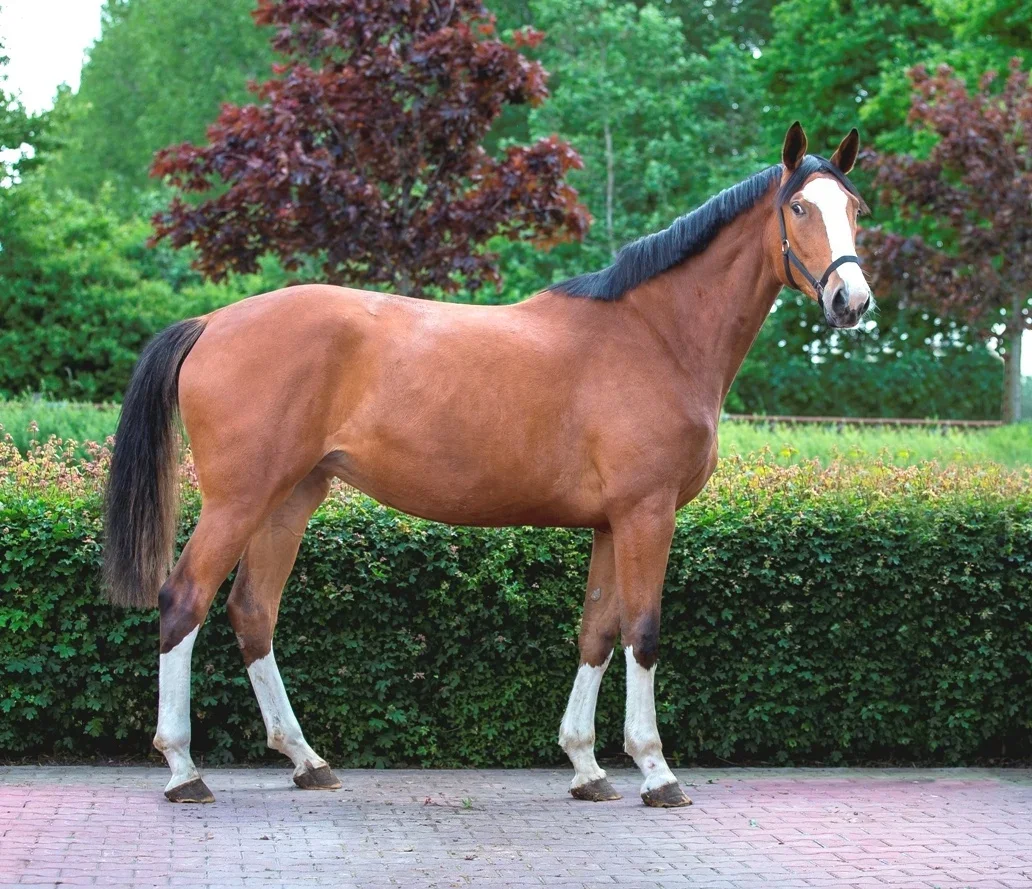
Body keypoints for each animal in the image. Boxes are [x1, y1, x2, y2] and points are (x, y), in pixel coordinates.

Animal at [103, 122, 872, 806]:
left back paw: (306, 759)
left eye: (856, 210)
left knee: (253, 611)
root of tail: (211, 323)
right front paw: (655, 772)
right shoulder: (646, 514)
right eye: (799, 208)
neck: (655, 335)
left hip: (290, 497)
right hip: (239, 500)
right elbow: (643, 633)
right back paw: (184, 770)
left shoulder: (610, 524)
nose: (851, 301)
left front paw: (586, 767)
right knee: (184, 600)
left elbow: (597, 632)